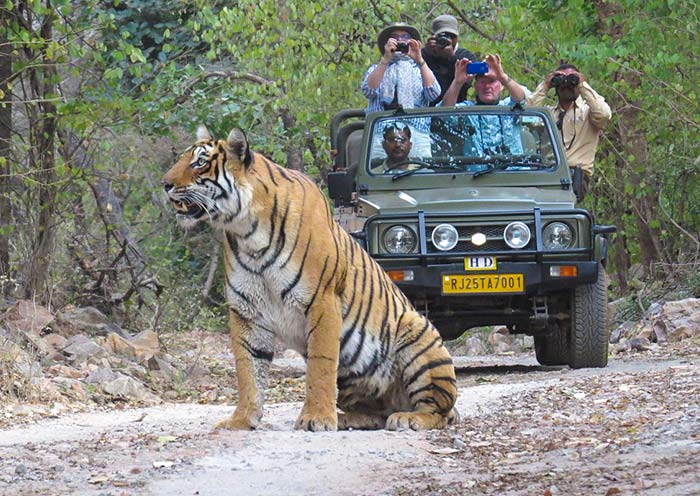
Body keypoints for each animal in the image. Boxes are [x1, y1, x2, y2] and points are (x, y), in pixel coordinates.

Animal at [164, 125, 460, 430]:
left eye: (199, 162)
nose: (165, 184)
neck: (247, 231)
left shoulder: (322, 300)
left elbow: (320, 364)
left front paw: (315, 418)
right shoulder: (247, 310)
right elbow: (248, 369)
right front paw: (242, 420)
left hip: (418, 334)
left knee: (440, 411)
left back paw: (409, 418)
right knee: (376, 412)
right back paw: (349, 419)